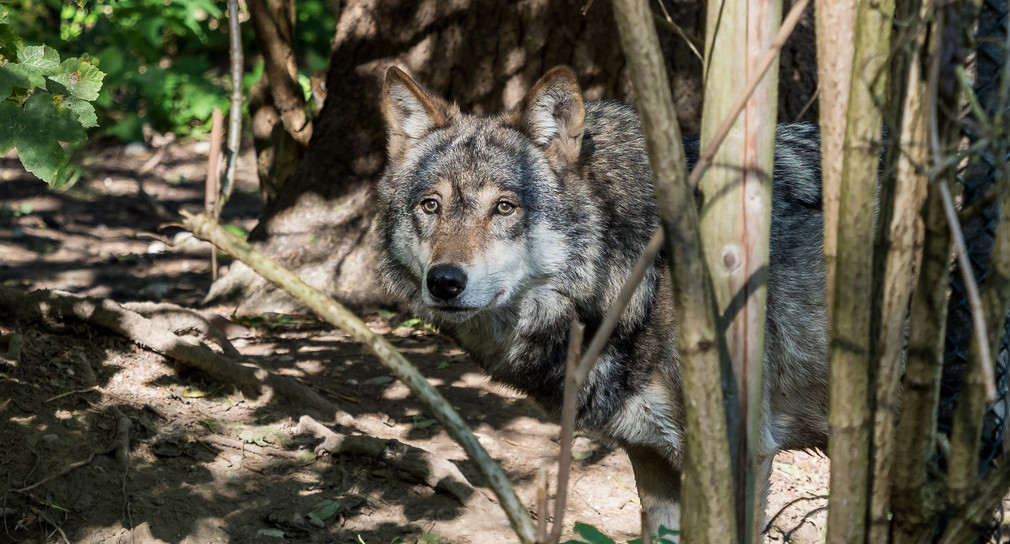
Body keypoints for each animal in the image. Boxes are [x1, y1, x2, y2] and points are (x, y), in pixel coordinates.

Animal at [373, 66, 828, 536]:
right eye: (431, 205)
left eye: (504, 207)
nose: (444, 282)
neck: (646, 270)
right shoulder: (650, 456)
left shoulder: (741, 458)